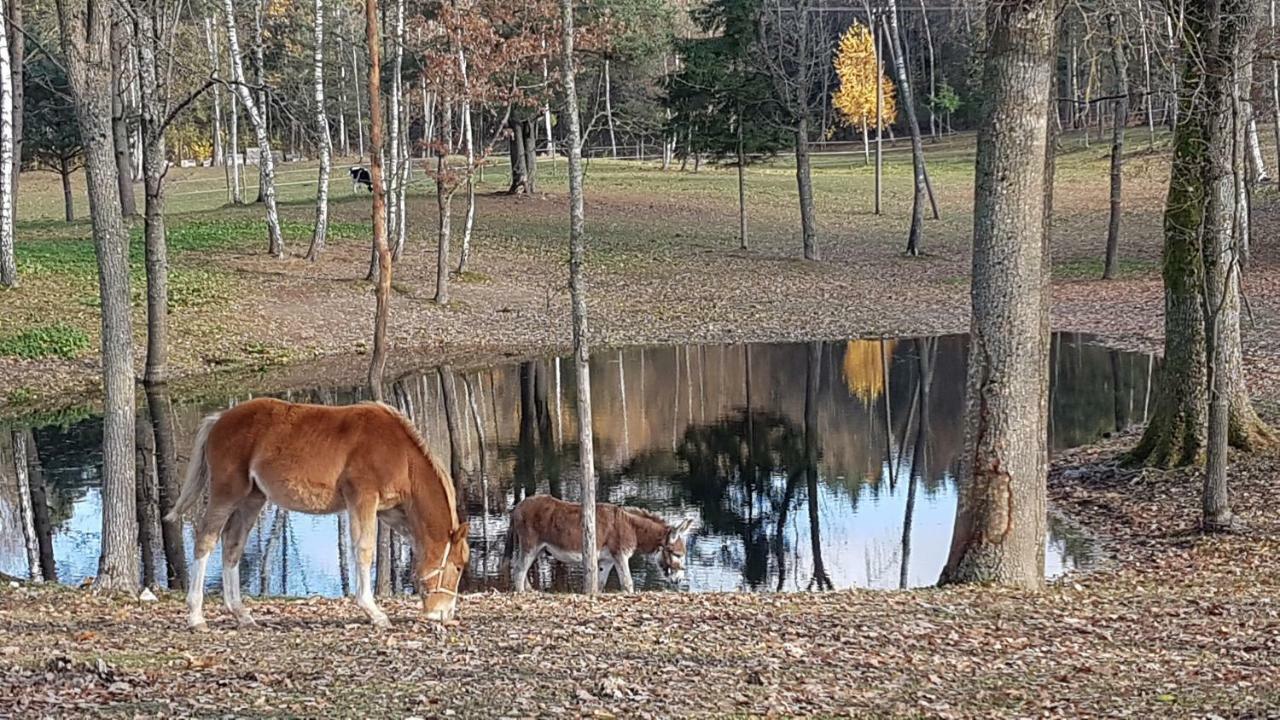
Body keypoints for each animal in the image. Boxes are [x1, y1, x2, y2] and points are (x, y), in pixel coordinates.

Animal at [166, 397, 471, 627]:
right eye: (458, 566)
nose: (443, 613)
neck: (398, 453)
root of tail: (220, 418)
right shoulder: (363, 499)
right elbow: (364, 550)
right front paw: (373, 612)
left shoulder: (390, 512)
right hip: (226, 493)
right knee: (205, 540)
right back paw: (196, 616)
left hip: (252, 499)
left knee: (232, 545)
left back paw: (241, 614)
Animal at [504, 491, 696, 589]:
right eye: (676, 554)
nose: (679, 580)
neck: (630, 527)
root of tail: (518, 506)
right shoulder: (620, 556)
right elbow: (627, 584)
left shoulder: (607, 560)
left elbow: (600, 584)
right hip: (530, 545)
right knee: (519, 571)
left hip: (536, 549)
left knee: (521, 570)